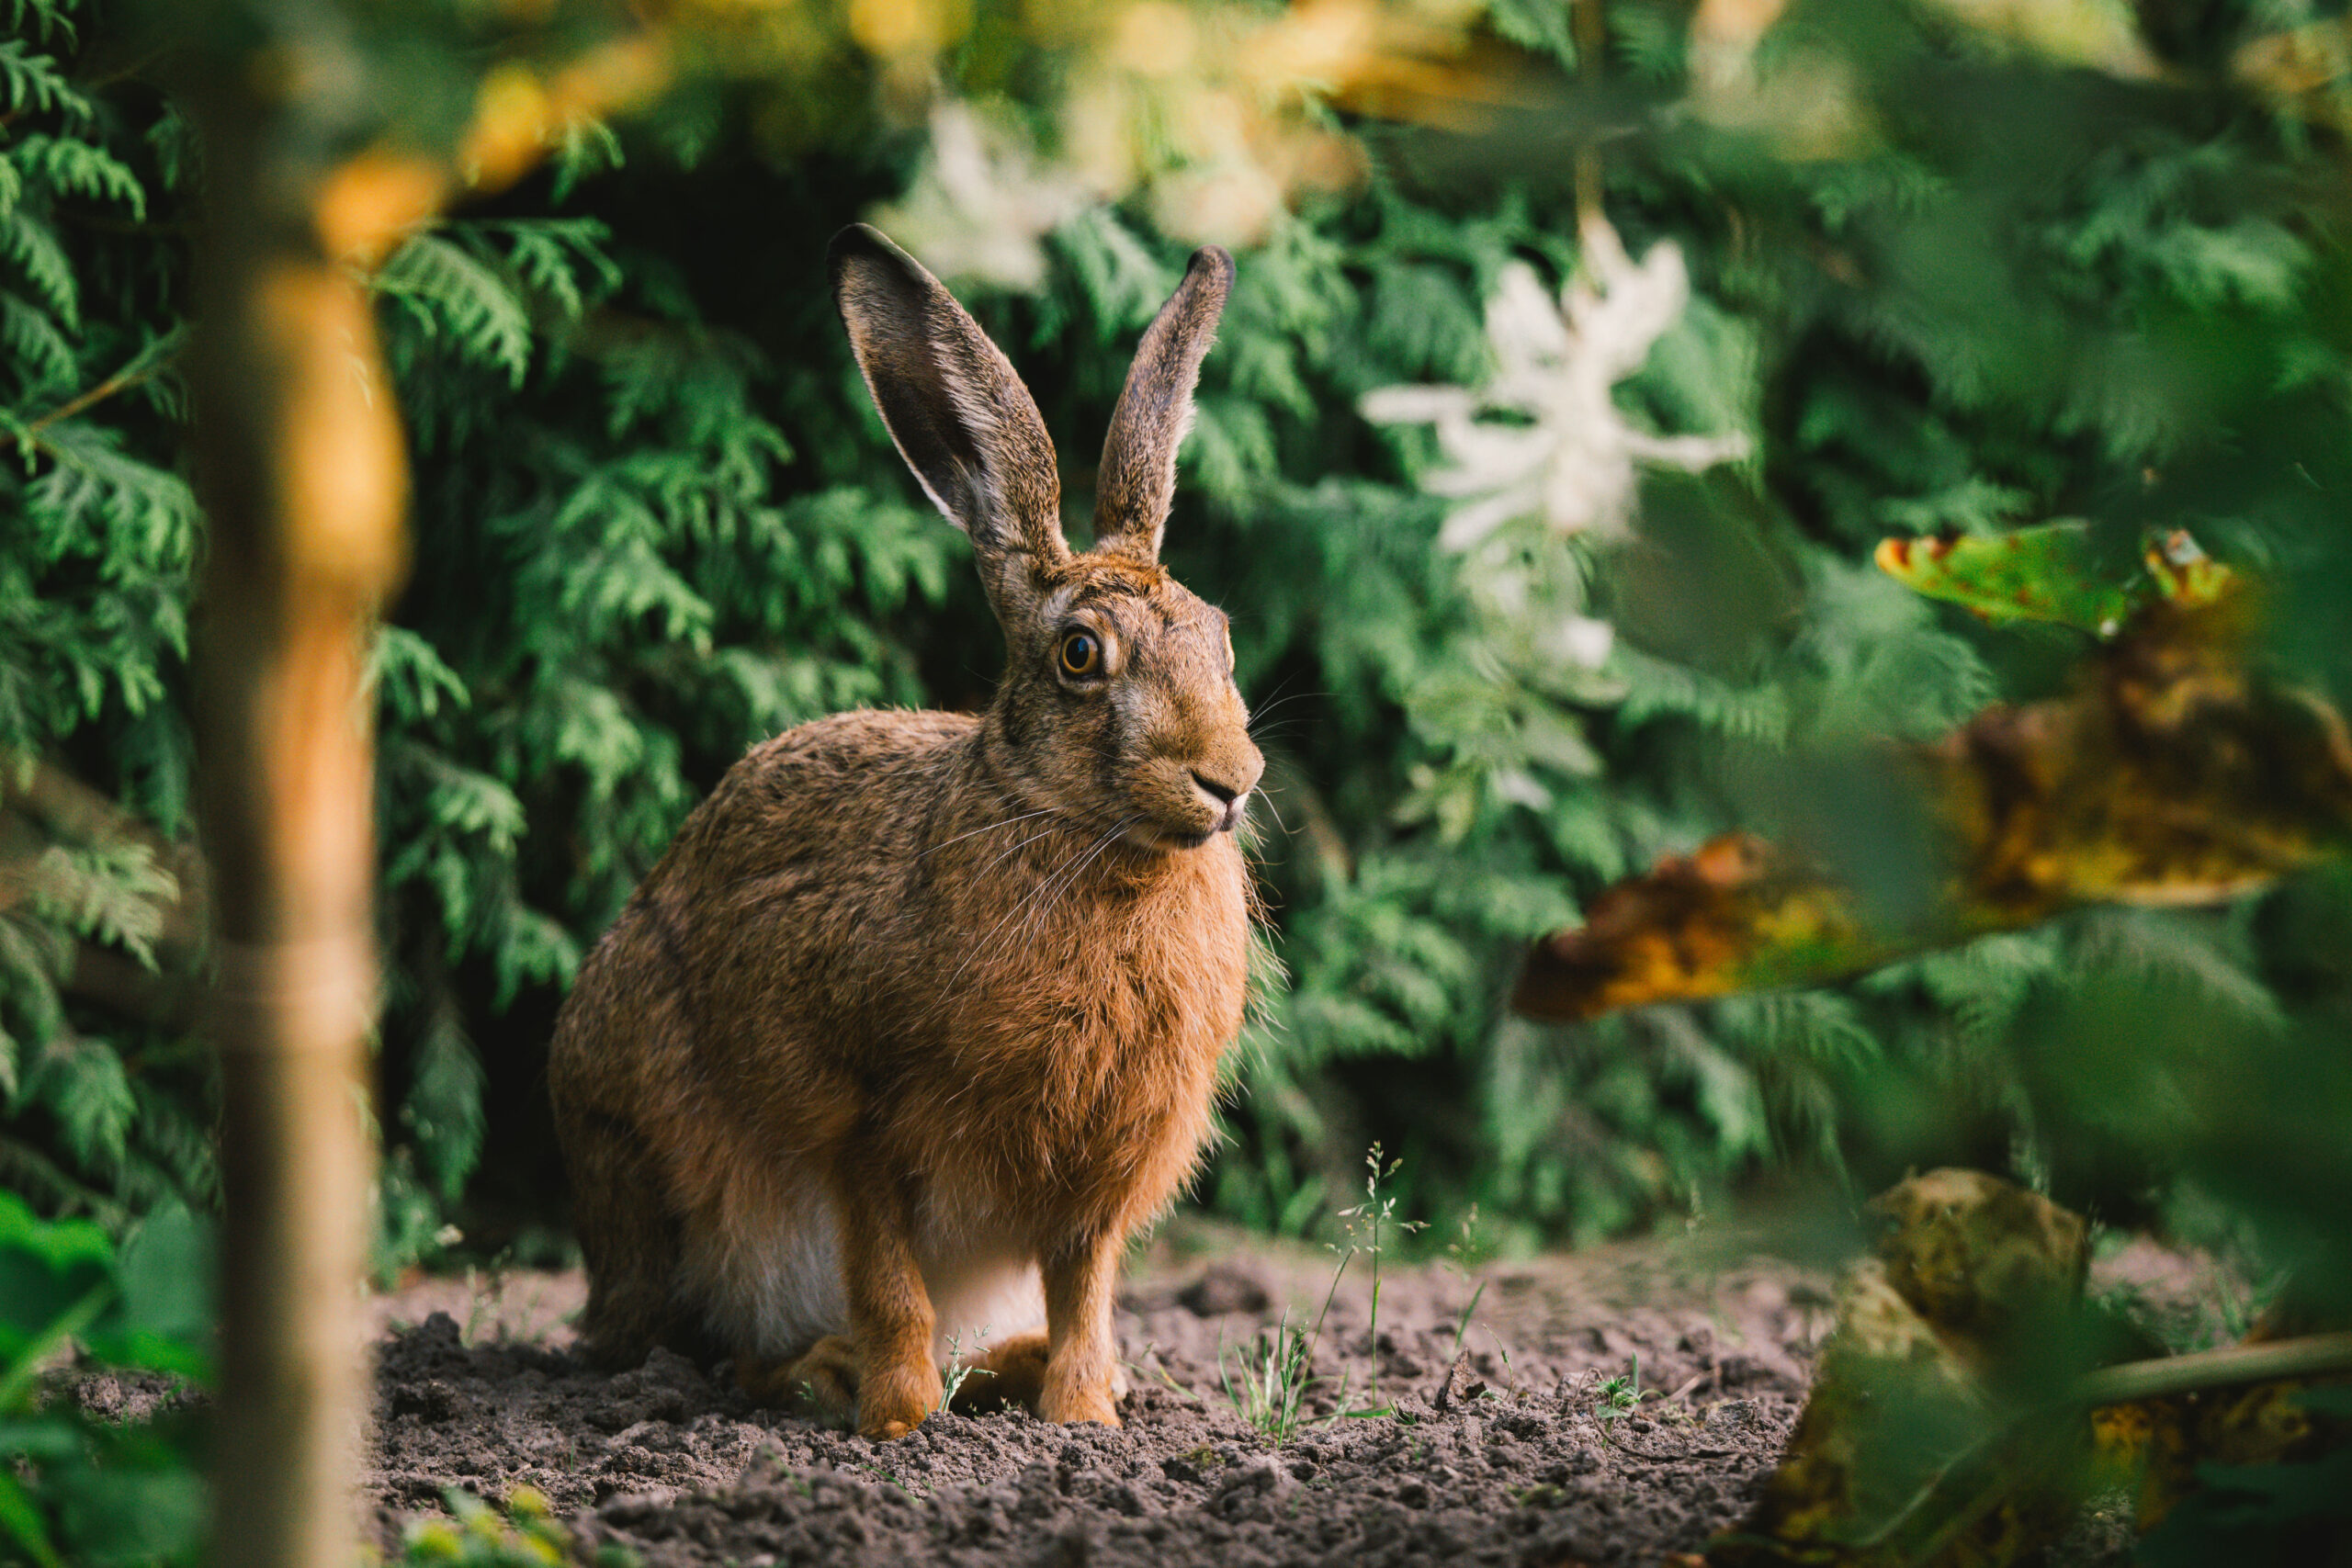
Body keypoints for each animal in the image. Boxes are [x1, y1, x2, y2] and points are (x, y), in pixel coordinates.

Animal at [547, 223, 1261, 1441]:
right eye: (1080, 655)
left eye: (1218, 635)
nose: (1230, 781)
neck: (1080, 841)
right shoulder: (856, 1123)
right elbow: (889, 1278)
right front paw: (897, 1419)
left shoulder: (1103, 1169)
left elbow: (1085, 1287)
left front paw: (1084, 1415)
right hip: (648, 1158)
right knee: (712, 1348)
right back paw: (827, 1376)